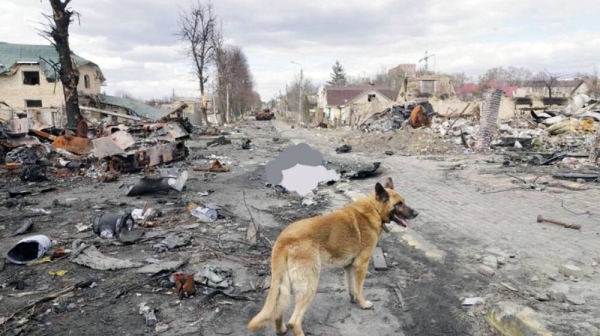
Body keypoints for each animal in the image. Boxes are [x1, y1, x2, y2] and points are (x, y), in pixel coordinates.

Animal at [247, 177, 418, 334]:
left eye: (404, 202)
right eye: (399, 204)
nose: (416, 213)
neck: (374, 209)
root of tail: (284, 238)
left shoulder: (349, 266)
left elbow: (351, 287)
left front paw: (353, 299)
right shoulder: (361, 265)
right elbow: (360, 288)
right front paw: (362, 303)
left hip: (285, 284)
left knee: (278, 310)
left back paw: (280, 329)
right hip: (310, 285)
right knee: (294, 321)